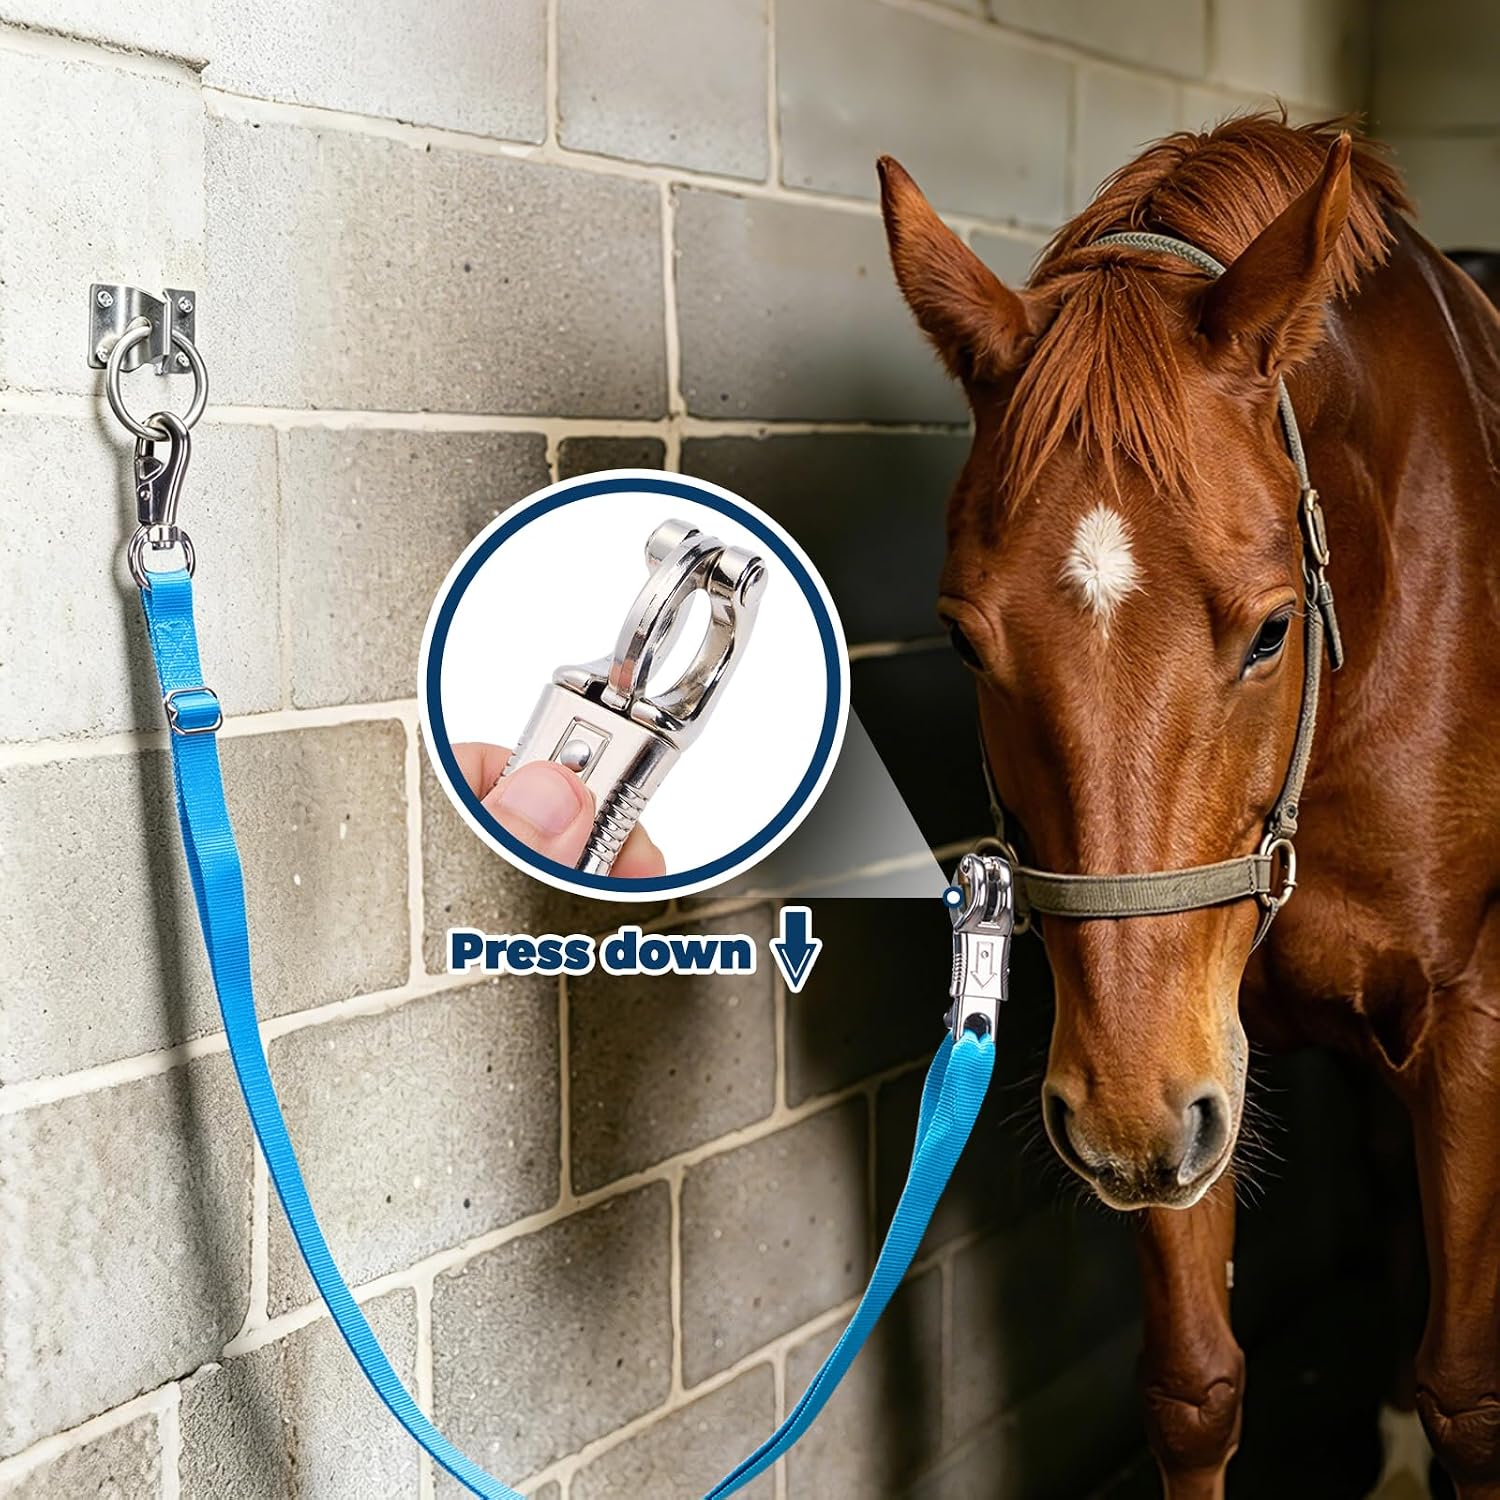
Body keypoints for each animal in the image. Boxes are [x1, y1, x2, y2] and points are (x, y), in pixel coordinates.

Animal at [878, 116, 1500, 1497]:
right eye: (963, 640)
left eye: (1270, 630)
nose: (1120, 1122)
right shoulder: (1184, 1062)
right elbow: (1195, 1390)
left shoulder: (1470, 1021)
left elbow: (1472, 1399)